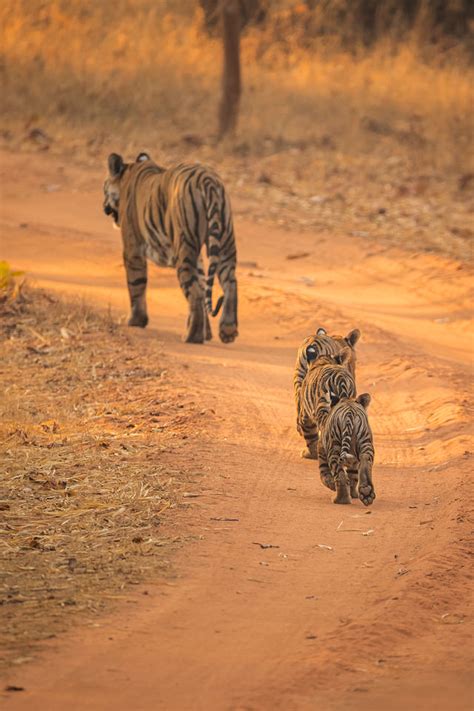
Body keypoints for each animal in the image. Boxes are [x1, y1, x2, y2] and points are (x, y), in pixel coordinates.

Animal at [103, 152, 237, 344]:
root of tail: (207, 180)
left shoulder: (132, 248)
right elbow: (203, 284)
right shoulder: (198, 257)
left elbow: (135, 284)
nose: (103, 206)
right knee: (229, 283)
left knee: (195, 292)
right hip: (225, 243)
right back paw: (227, 331)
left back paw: (192, 337)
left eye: (104, 188)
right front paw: (208, 333)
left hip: (185, 249)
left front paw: (136, 321)